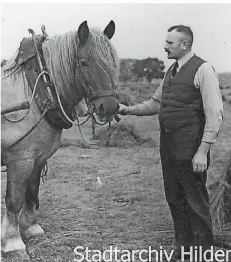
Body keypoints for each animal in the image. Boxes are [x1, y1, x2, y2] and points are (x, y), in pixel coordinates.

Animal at [1, 20, 120, 260]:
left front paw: (32, 229)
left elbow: (31, 191)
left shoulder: (38, 159)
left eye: (112, 61)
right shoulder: (20, 160)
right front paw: (13, 243)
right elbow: (14, 199)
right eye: (84, 63)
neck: (37, 92)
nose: (109, 107)